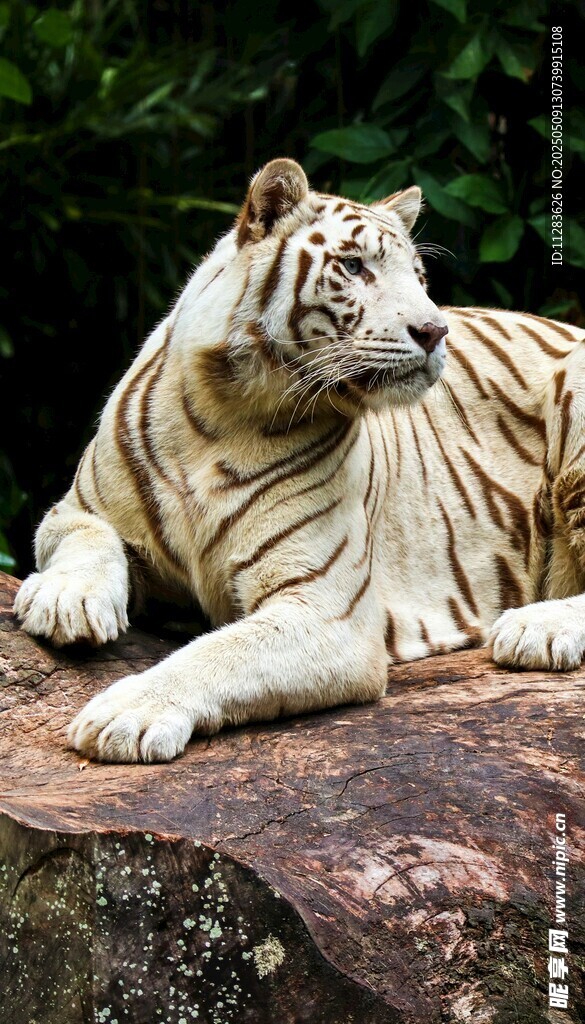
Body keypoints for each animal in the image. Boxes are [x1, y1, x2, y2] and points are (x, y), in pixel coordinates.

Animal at [13, 158, 585, 764]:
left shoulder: (327, 609)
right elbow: (85, 537)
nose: (435, 331)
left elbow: (217, 653)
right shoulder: (76, 506)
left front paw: (125, 714)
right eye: (354, 266)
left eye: (418, 276)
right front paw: (66, 600)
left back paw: (536, 629)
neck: (225, 412)